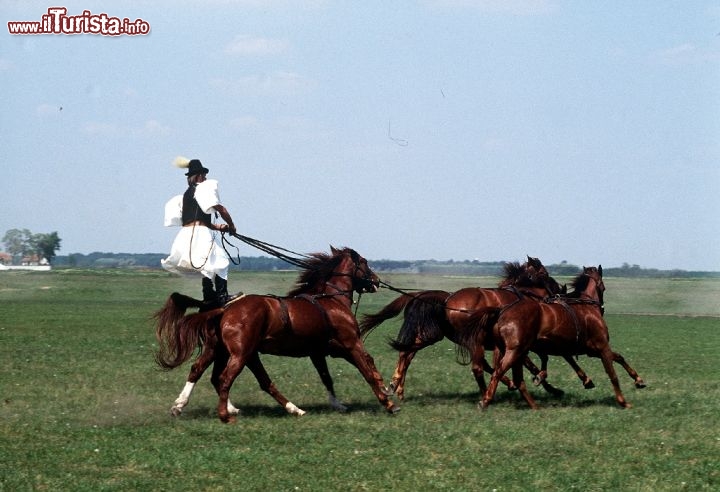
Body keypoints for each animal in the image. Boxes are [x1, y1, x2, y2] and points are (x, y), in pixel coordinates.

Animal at [155, 248, 400, 420]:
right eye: (364, 263)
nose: (376, 281)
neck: (330, 300)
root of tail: (225, 308)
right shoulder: (350, 344)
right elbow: (366, 368)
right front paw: (388, 401)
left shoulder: (320, 352)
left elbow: (328, 376)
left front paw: (340, 403)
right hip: (241, 353)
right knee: (226, 378)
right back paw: (227, 412)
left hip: (222, 350)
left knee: (202, 371)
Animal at [472, 268, 640, 410]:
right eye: (603, 287)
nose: (602, 307)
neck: (587, 307)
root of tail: (502, 311)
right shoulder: (602, 347)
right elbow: (612, 373)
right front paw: (623, 402)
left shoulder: (592, 350)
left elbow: (619, 357)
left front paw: (639, 381)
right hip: (515, 351)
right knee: (498, 372)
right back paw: (486, 400)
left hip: (513, 352)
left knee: (515, 378)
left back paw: (535, 405)